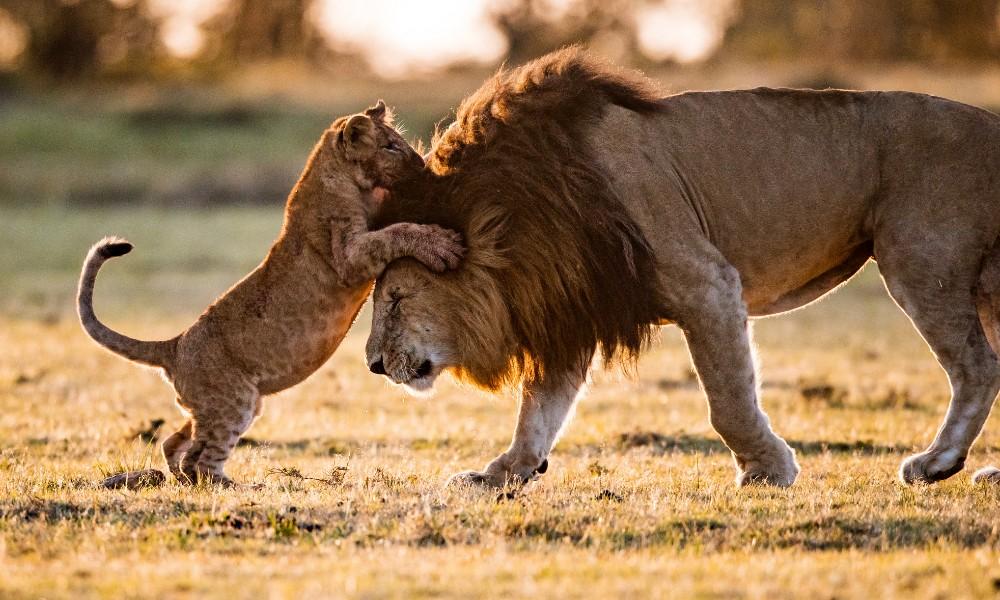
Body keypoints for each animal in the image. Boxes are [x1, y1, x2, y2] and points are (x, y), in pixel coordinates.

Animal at [368, 47, 1000, 488]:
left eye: (396, 299)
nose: (373, 365)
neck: (524, 210)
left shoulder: (707, 283)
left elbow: (727, 399)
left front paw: (768, 471)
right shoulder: (575, 299)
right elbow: (539, 410)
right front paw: (500, 475)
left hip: (920, 261)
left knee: (977, 366)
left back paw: (937, 463)